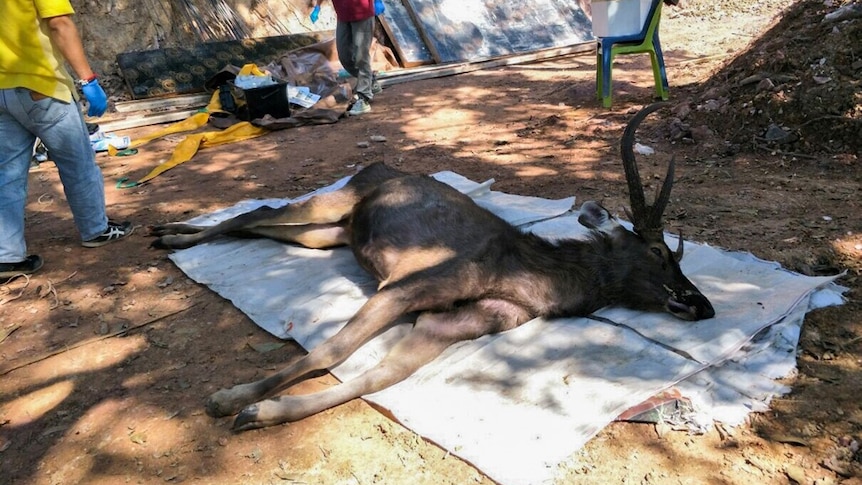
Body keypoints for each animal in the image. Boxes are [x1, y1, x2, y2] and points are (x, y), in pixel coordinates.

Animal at [150, 103, 716, 432]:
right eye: (660, 253)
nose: (702, 305)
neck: (525, 280)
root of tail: (375, 167)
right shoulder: (404, 287)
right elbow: (331, 350)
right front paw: (229, 398)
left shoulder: (450, 323)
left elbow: (378, 377)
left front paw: (260, 413)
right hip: (338, 197)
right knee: (260, 210)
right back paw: (168, 234)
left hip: (336, 233)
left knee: (271, 227)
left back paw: (172, 234)